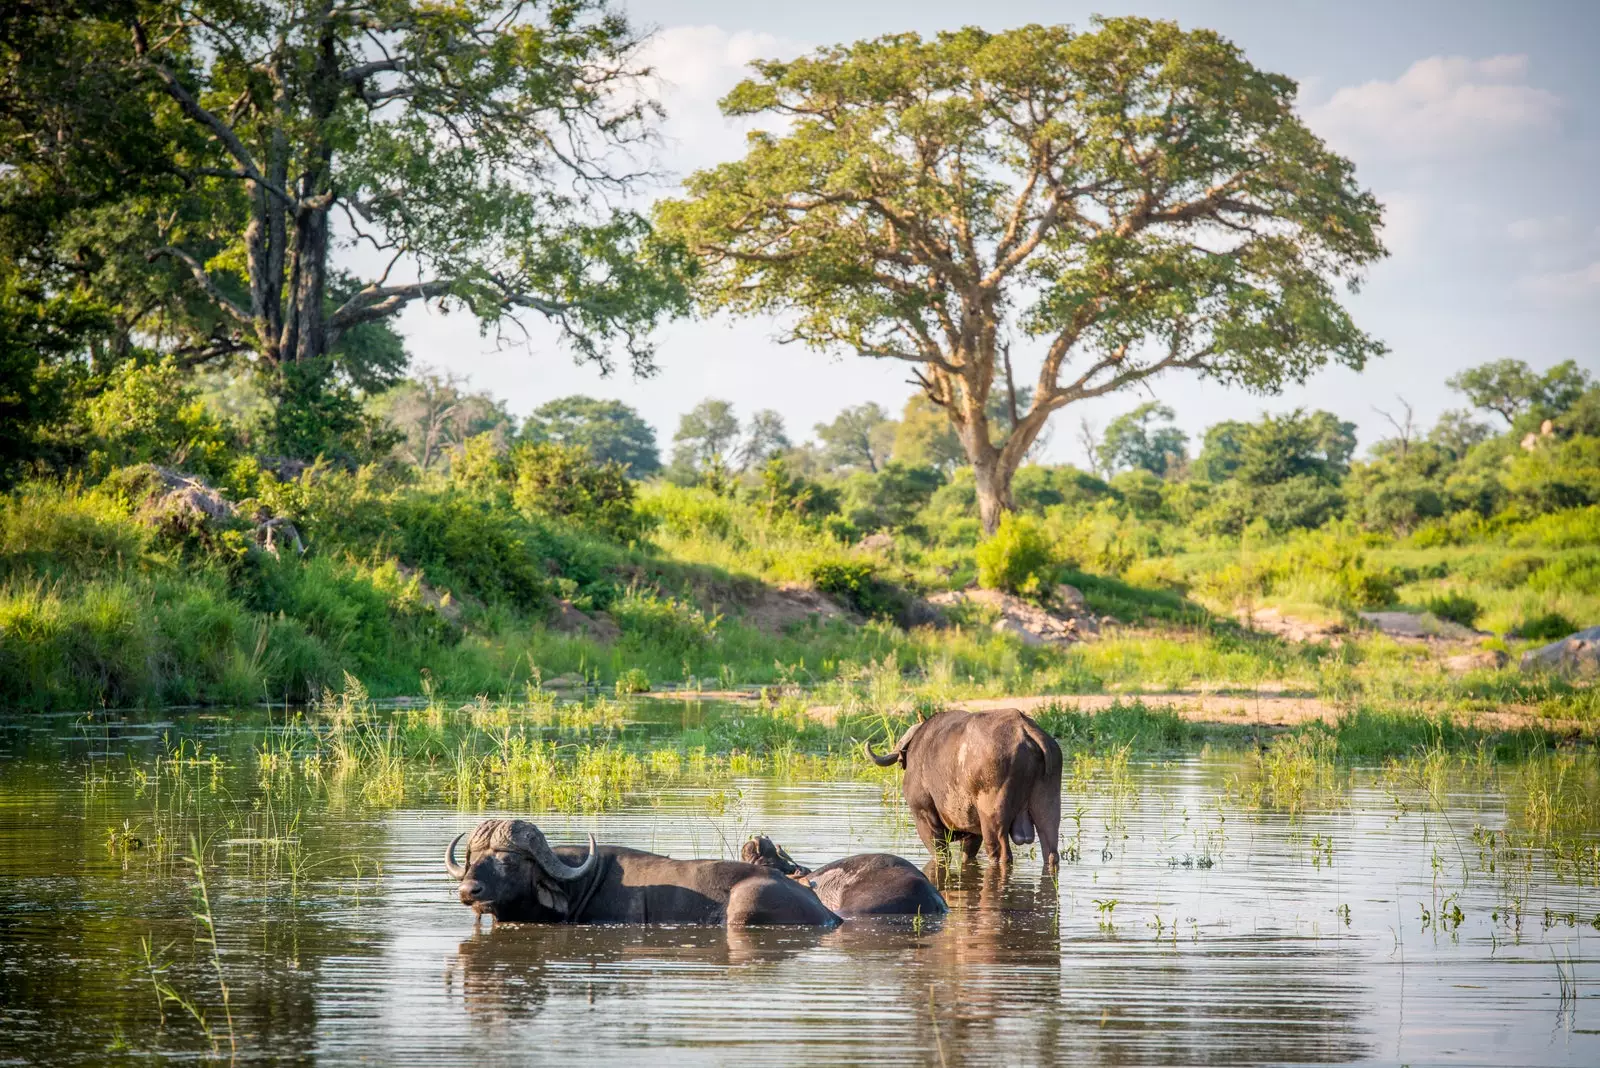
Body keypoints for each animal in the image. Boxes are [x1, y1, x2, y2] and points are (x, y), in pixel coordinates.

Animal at [864, 709, 1062, 869]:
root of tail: (1024, 729)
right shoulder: (973, 831)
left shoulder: (924, 817)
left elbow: (941, 855)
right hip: (1049, 809)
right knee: (1051, 851)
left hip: (992, 818)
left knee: (1001, 854)